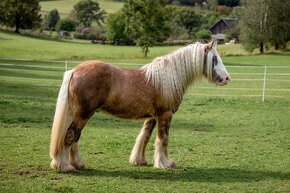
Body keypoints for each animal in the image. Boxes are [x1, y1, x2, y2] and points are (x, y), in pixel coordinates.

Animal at [50, 40, 231, 172]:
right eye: (214, 59)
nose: (226, 78)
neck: (167, 78)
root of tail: (74, 71)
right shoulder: (165, 115)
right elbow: (163, 139)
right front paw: (165, 163)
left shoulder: (152, 117)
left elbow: (145, 137)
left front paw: (139, 161)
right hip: (83, 114)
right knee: (70, 136)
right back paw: (64, 166)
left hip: (79, 114)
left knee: (74, 138)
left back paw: (77, 164)